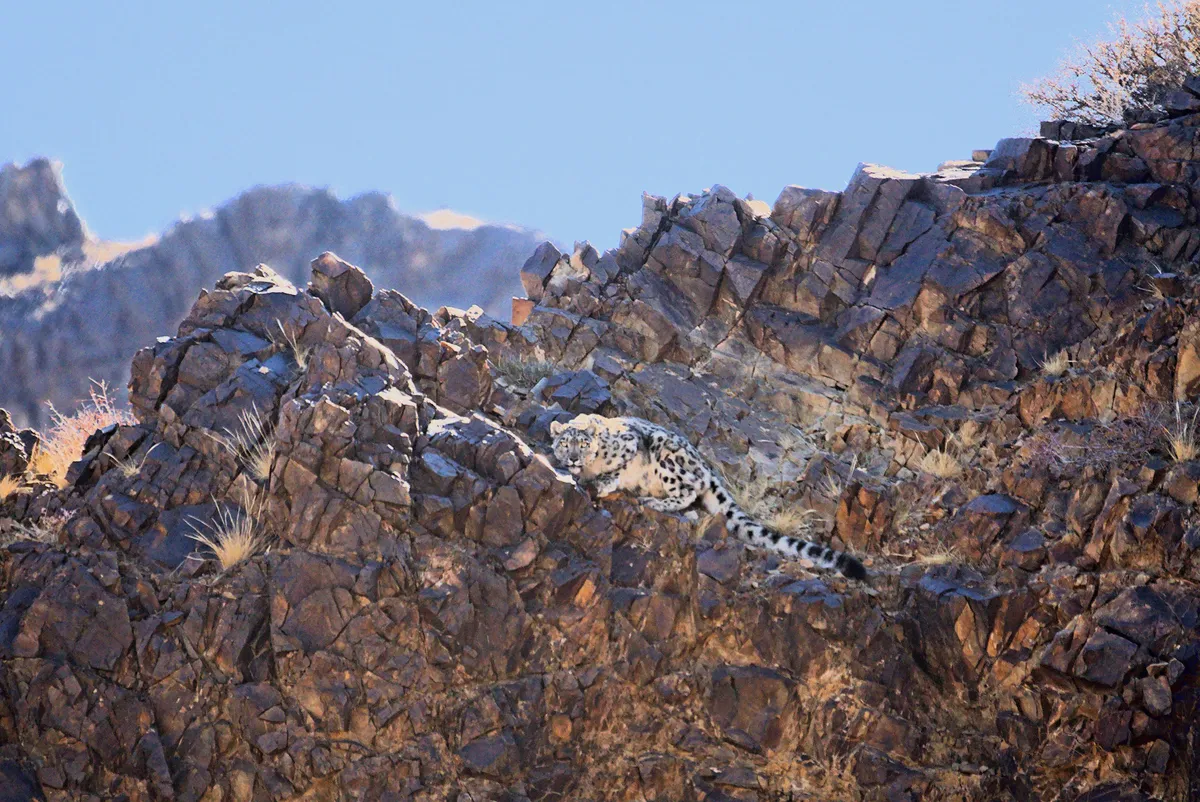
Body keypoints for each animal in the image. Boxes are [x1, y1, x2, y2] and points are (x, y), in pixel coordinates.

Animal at [551, 414, 867, 579]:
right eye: (564, 444)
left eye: (583, 443)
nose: (574, 457)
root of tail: (705, 464)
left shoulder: (630, 443)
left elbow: (619, 465)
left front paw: (605, 480)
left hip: (669, 459)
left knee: (689, 489)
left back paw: (654, 500)